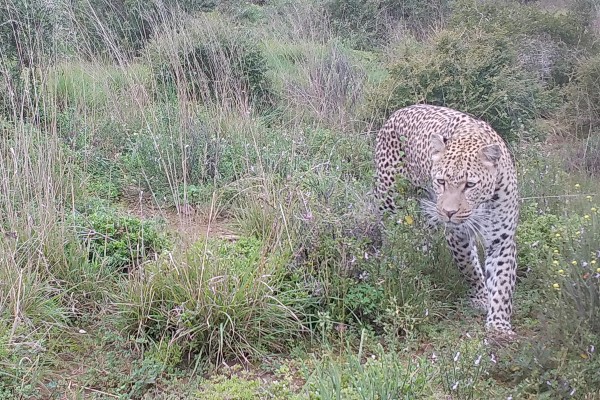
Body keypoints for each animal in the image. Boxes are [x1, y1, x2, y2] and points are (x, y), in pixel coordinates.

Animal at [376, 103, 520, 334]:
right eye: (441, 181)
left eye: (470, 185)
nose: (449, 212)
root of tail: (399, 111)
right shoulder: (457, 234)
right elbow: (469, 267)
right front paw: (480, 298)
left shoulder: (502, 239)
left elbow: (502, 282)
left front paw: (499, 325)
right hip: (390, 201)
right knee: (391, 237)